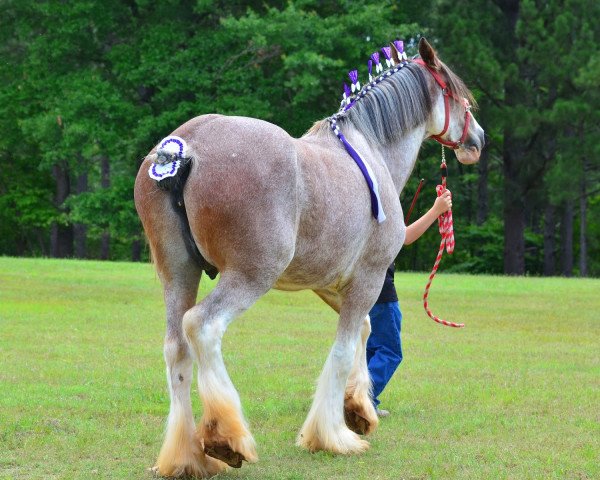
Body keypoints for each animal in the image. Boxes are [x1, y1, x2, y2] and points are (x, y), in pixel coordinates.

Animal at [135, 36, 482, 476]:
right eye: (457, 96)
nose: (478, 140)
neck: (371, 151)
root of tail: (181, 149)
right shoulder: (368, 278)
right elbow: (343, 348)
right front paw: (333, 436)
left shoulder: (330, 284)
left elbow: (364, 330)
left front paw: (357, 410)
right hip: (250, 276)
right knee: (202, 326)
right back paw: (225, 438)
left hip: (179, 273)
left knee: (176, 347)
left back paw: (187, 457)